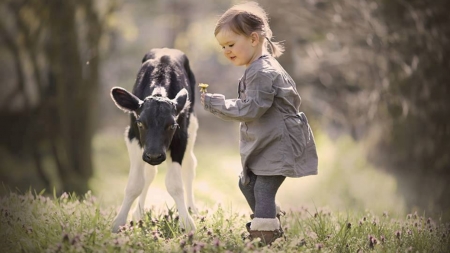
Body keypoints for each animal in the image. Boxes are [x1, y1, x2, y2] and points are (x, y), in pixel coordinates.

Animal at [110, 48, 197, 233]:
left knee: (190, 165)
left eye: (172, 125)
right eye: (140, 123)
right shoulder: (133, 136)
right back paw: (138, 213)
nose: (155, 156)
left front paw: (187, 223)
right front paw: (119, 222)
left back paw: (192, 209)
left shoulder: (181, 138)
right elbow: (135, 184)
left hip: (192, 124)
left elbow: (175, 184)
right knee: (149, 174)